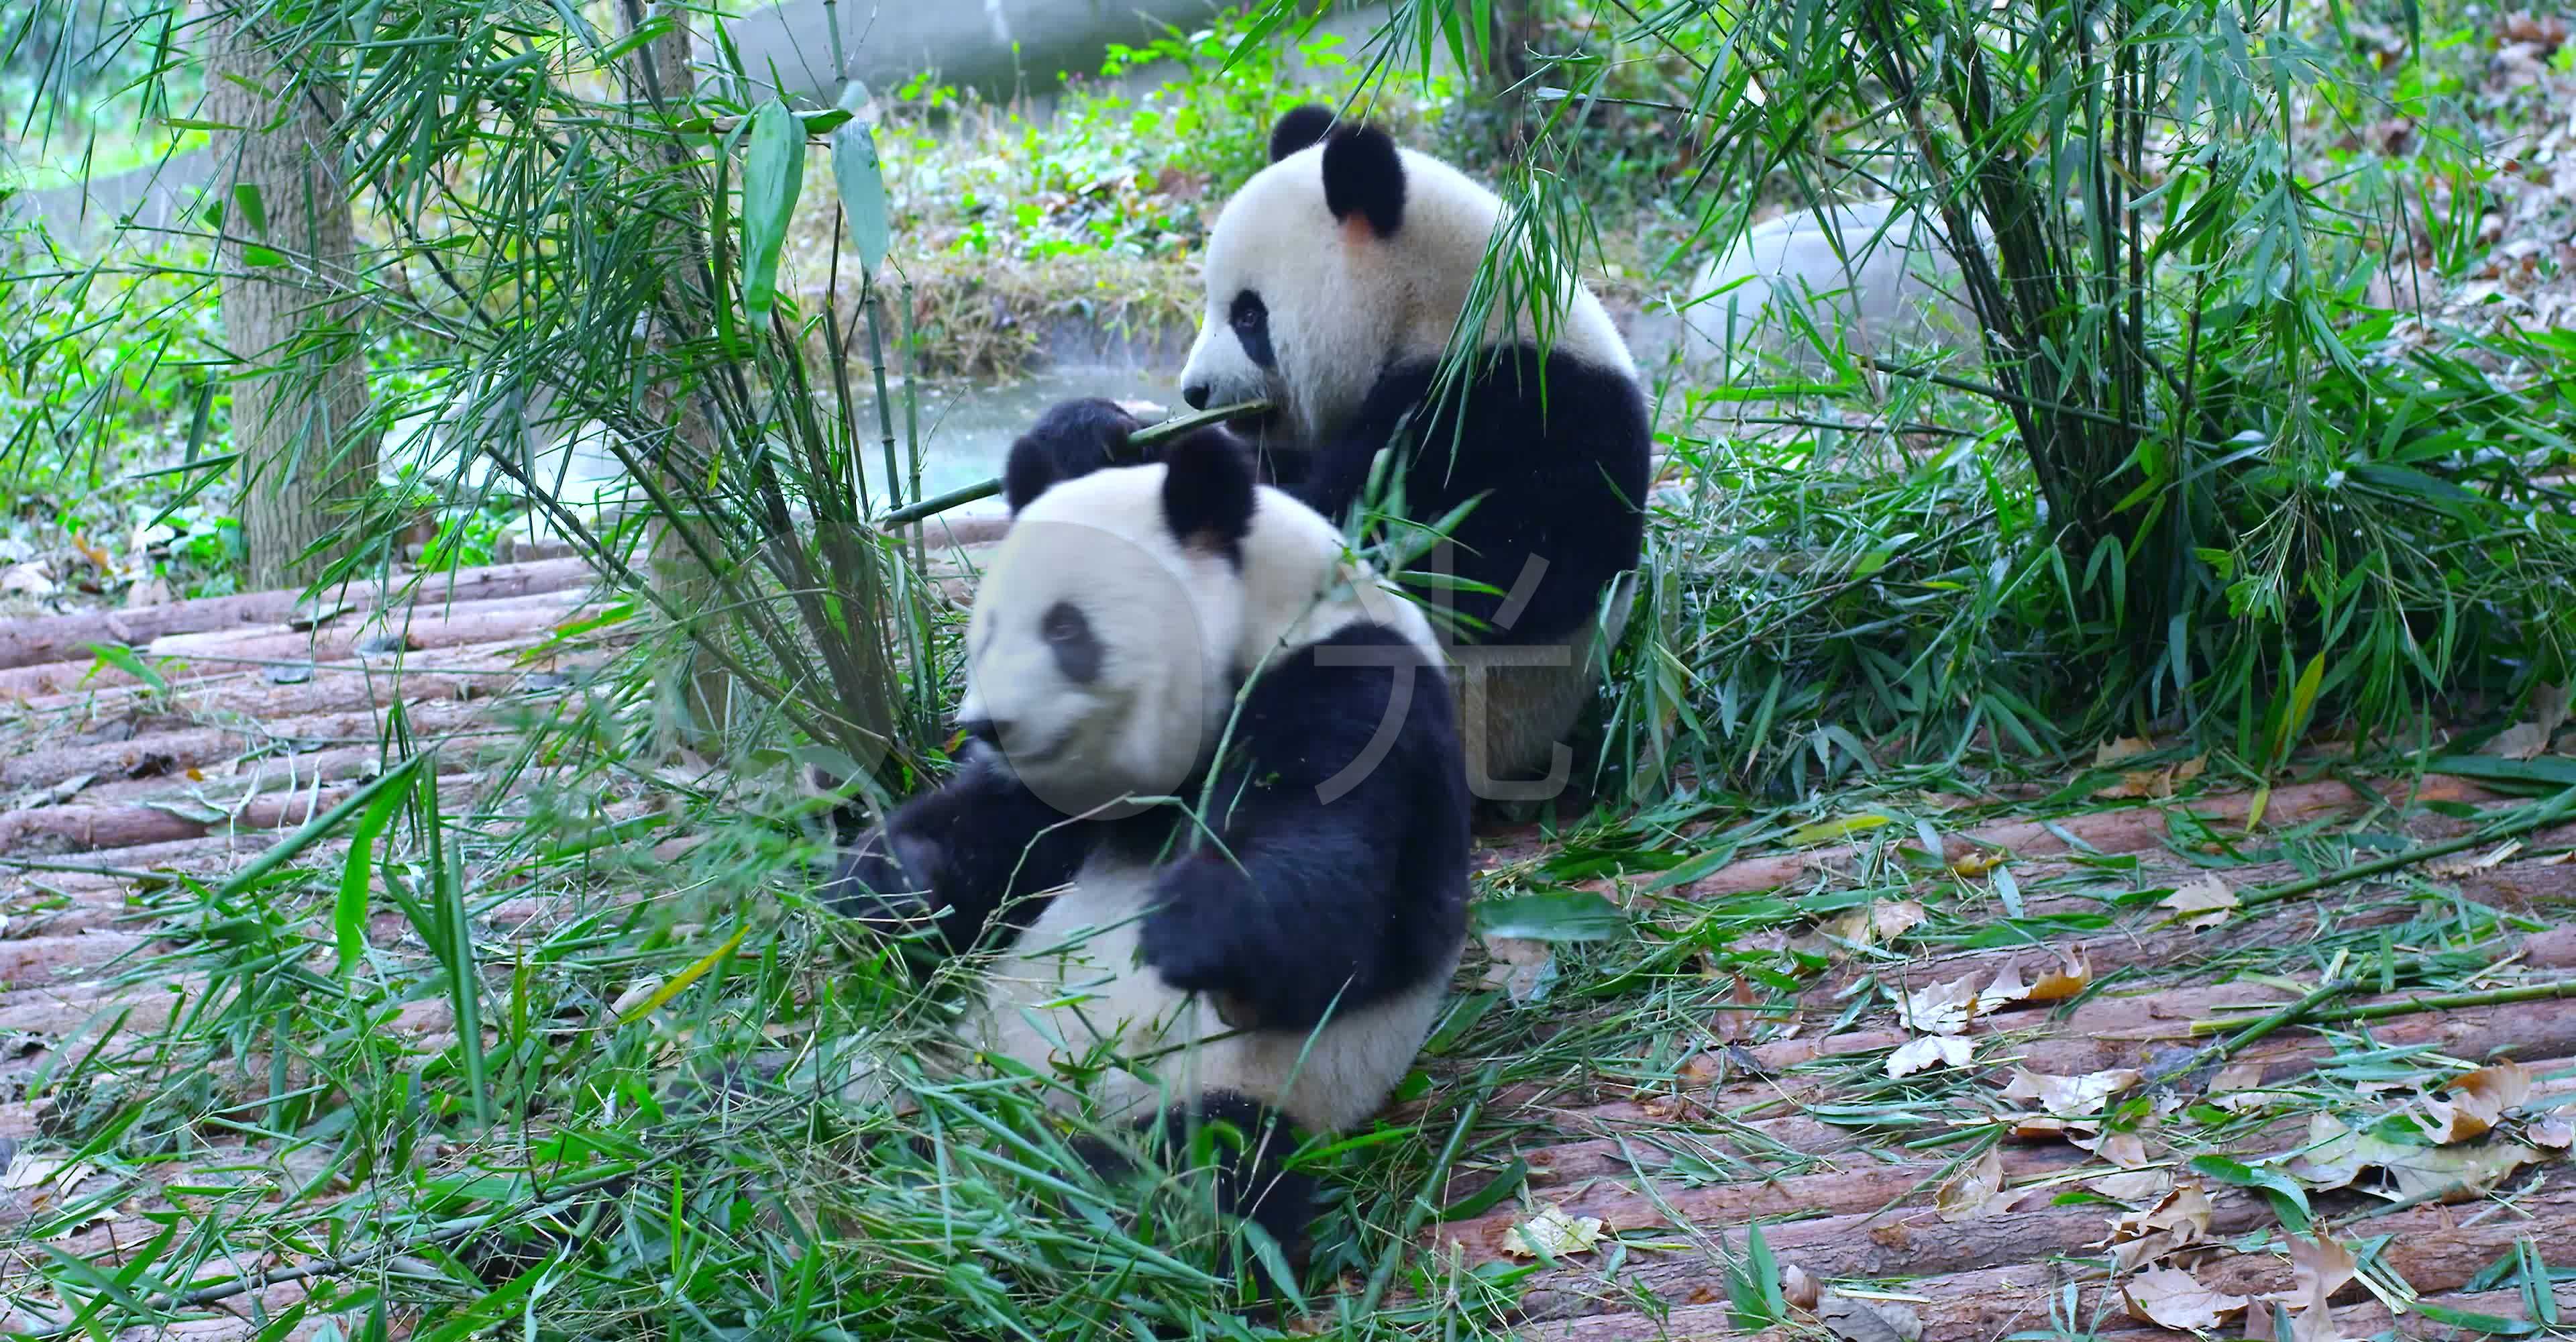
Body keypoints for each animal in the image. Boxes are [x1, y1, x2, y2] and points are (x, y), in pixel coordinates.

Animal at [824, 415, 1473, 1267]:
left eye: (1066, 627)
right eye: (986, 627)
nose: (987, 726)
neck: (1274, 614)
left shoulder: (1363, 690)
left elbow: (1356, 916)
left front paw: (1195, 924)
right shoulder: (1057, 801)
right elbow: (992, 852)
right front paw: (888, 890)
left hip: (1231, 1086)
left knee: (1190, 1181)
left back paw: (1040, 1211)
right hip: (913, 1053)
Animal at [1004, 107, 1648, 793]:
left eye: (1249, 316)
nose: (1195, 391)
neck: (1447, 308)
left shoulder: (1513, 411)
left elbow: (1436, 560)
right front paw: (1085, 432)